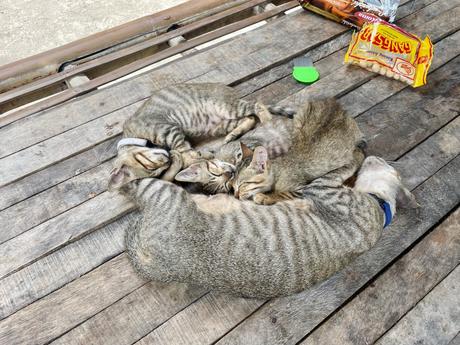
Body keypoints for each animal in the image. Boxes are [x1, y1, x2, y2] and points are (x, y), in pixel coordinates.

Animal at [109, 83, 292, 191]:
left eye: (148, 164)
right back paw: (233, 134)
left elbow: (186, 153)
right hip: (221, 124)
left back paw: (267, 120)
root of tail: (230, 90)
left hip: (227, 107)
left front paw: (197, 157)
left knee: (257, 106)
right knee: (250, 119)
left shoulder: (169, 130)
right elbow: (185, 158)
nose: (167, 158)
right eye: (157, 171)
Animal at [115, 155, 416, 296]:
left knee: (127, 184)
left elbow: (340, 169)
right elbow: (341, 171)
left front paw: (354, 157)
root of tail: (151, 263)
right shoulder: (318, 189)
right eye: (393, 167)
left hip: (163, 193)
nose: (377, 158)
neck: (381, 207)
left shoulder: (321, 188)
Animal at [234, 98, 366, 203]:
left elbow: (284, 193)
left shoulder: (301, 188)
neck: (278, 171)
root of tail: (335, 104)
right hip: (298, 120)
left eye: (242, 185)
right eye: (233, 187)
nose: (235, 196)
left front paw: (265, 197)